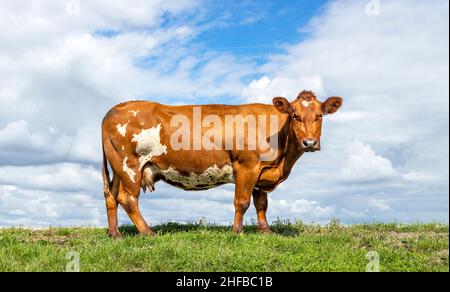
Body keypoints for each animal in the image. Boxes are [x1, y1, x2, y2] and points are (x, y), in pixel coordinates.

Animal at [101, 90, 342, 237]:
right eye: (295, 116)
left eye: (320, 116)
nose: (309, 142)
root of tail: (117, 107)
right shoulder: (247, 166)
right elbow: (242, 202)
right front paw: (237, 231)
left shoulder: (261, 172)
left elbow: (262, 204)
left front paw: (266, 231)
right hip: (130, 166)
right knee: (128, 199)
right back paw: (147, 232)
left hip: (117, 167)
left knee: (111, 195)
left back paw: (115, 234)